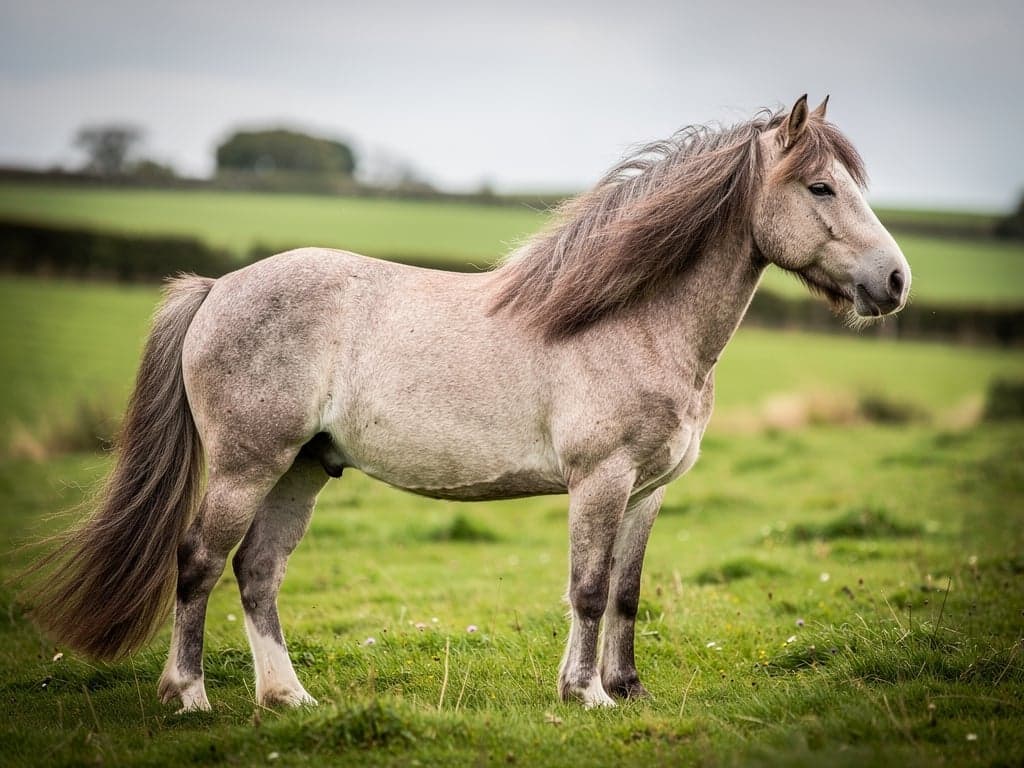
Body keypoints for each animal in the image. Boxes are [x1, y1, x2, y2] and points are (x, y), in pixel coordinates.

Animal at [28, 95, 910, 711]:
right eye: (821, 186)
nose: (896, 281)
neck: (634, 320)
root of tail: (217, 289)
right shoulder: (601, 480)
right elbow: (588, 589)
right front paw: (584, 695)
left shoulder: (648, 491)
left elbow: (626, 592)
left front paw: (627, 691)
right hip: (248, 465)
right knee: (200, 564)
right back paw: (190, 697)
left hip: (301, 470)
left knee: (258, 573)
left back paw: (288, 698)